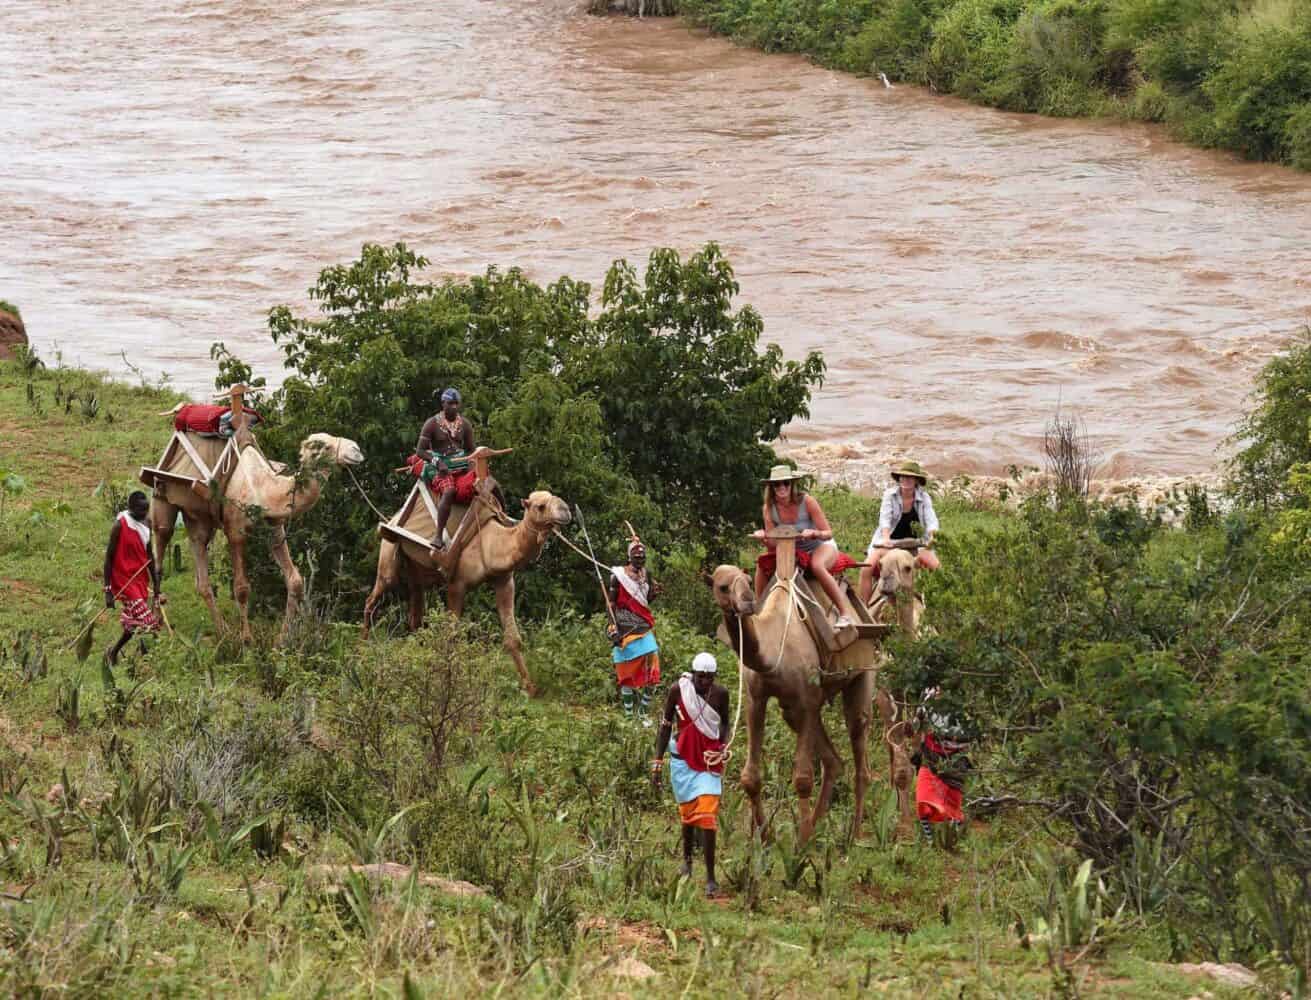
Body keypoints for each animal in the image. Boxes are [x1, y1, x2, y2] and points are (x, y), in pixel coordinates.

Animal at [149, 429, 364, 642]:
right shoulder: (235, 532)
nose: (356, 450)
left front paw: (284, 638)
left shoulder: (275, 530)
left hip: (199, 520)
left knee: (201, 572)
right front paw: (247, 641)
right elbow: (241, 589)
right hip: (161, 495)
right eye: (323, 446)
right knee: (160, 548)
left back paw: (223, 631)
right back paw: (156, 623)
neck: (262, 490)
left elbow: (294, 580)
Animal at [359, 490, 568, 697]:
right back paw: (362, 650)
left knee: (415, 617)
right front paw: (448, 681)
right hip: (389, 551)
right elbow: (451, 635)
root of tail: (392, 518)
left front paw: (530, 688)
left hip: (416, 569)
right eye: (540, 506)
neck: (492, 542)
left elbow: (513, 638)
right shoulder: (457, 583)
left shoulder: (504, 581)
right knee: (373, 599)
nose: (565, 510)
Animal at [713, 563, 917, 844]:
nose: (747, 602)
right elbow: (750, 776)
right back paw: (816, 824)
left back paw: (855, 835)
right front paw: (767, 838)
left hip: (865, 676)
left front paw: (800, 843)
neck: (772, 650)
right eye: (722, 586)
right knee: (834, 761)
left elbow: (803, 778)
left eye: (747, 581)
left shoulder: (808, 699)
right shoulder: (756, 699)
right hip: (794, 711)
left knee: (861, 758)